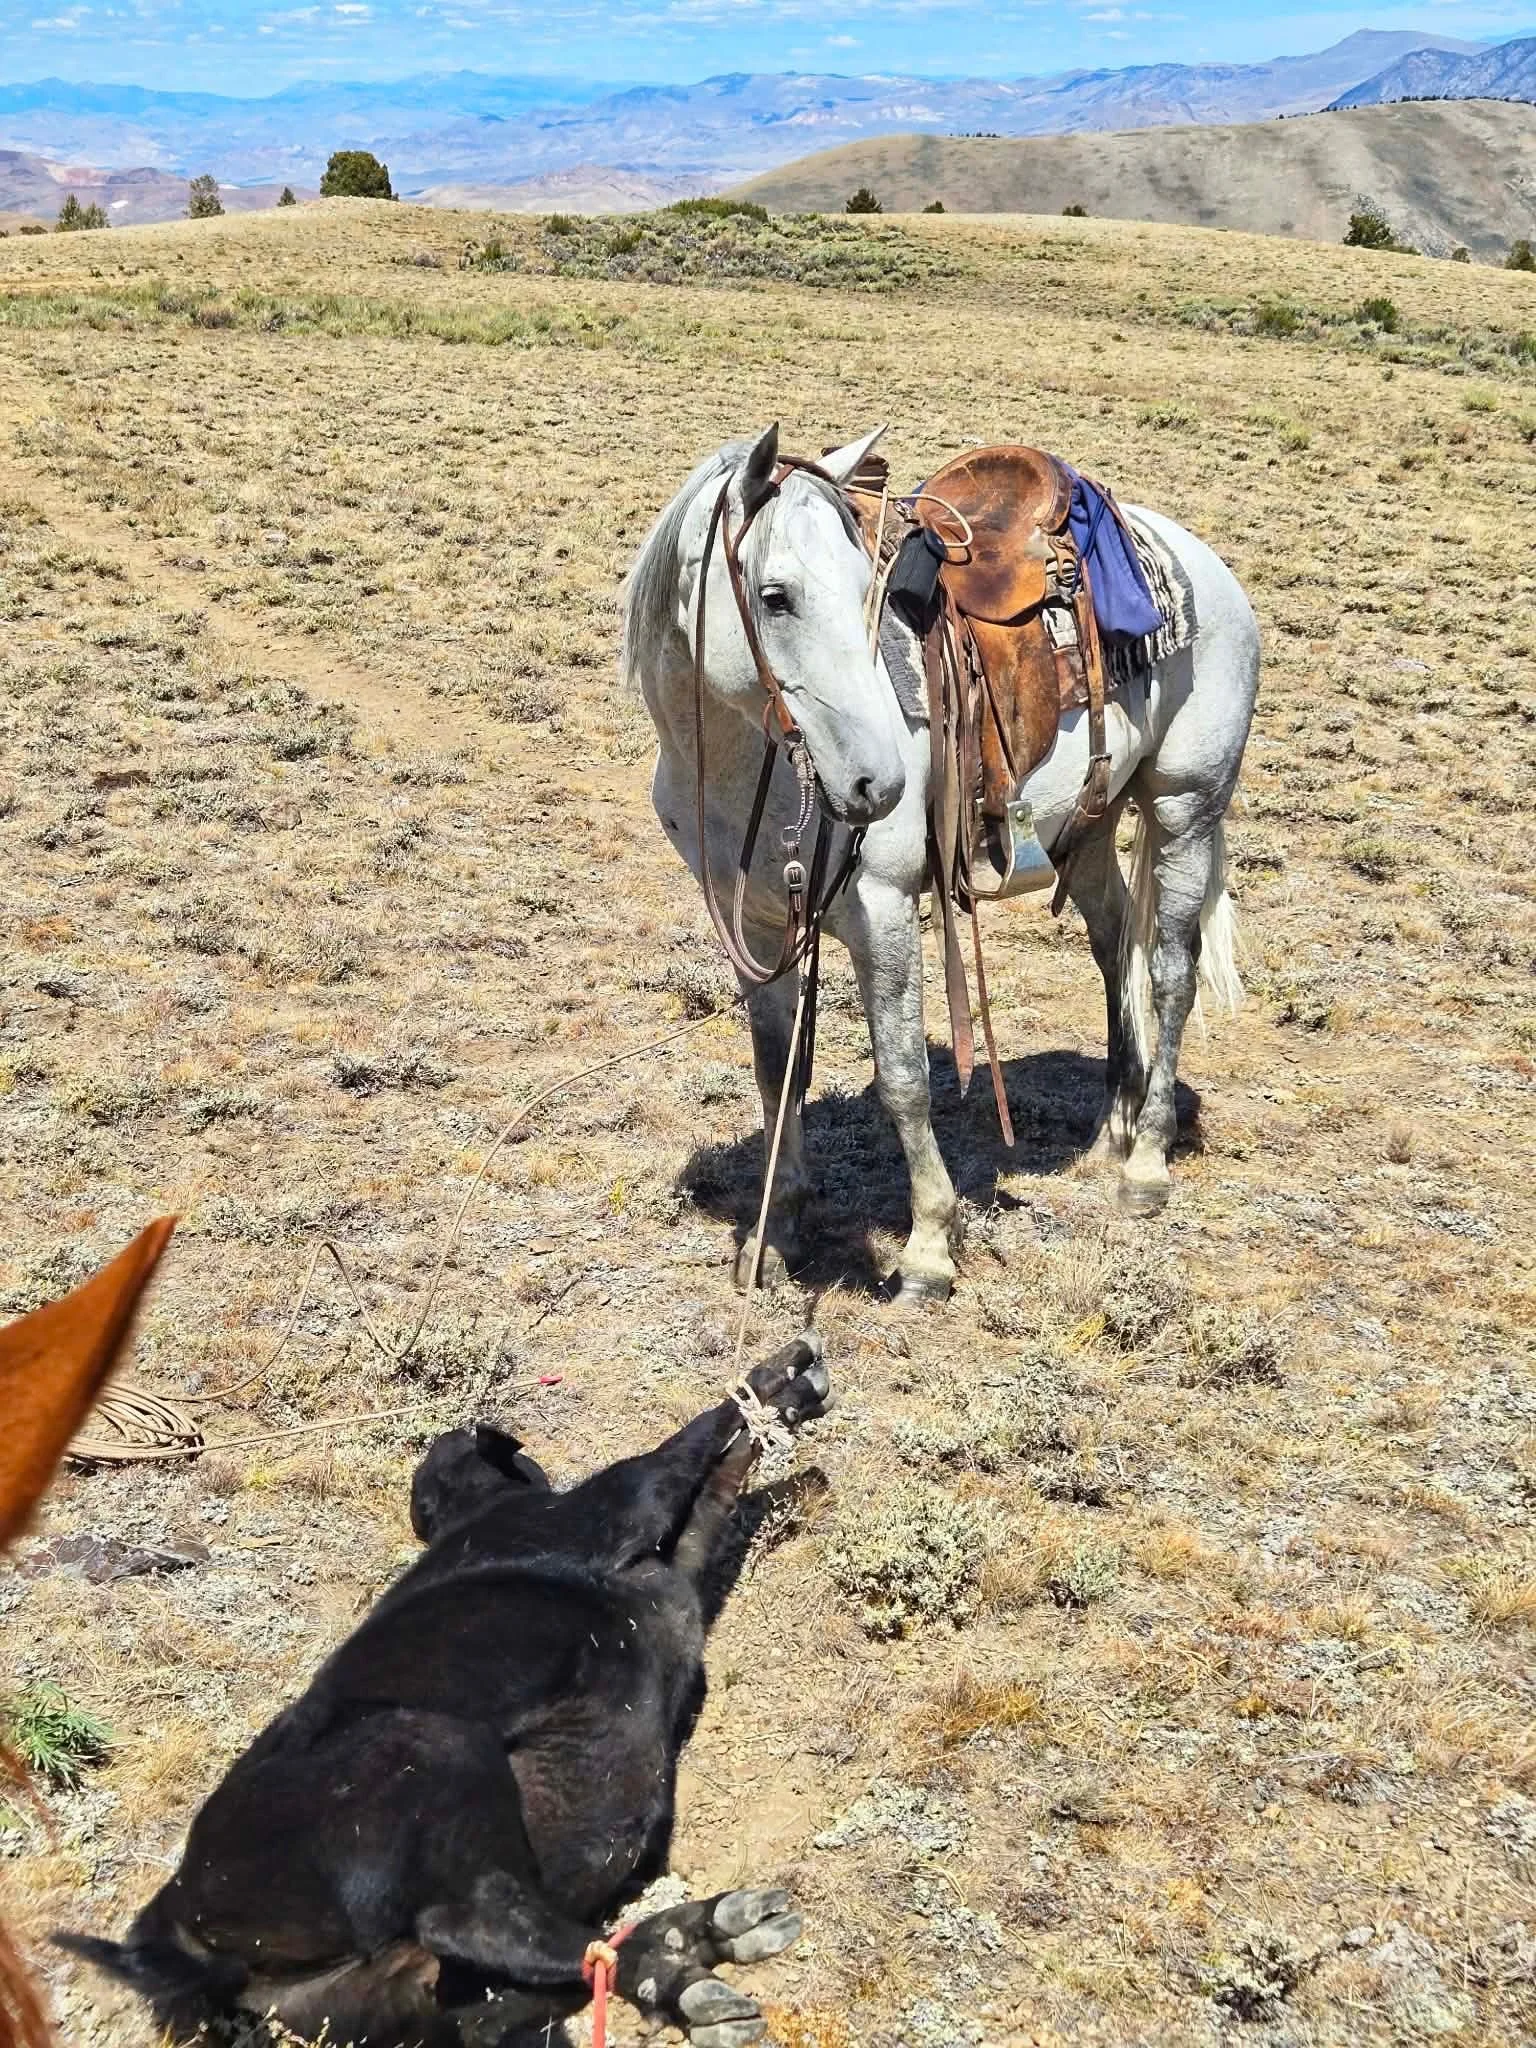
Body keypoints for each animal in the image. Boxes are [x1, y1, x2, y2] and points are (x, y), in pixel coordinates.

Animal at [60, 1334, 830, 2047]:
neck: (472, 1518)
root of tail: (174, 1925)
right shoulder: (609, 1506)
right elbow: (682, 1447)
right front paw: (777, 1373)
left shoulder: (679, 1566)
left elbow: (721, 1482)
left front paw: (784, 1402)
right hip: (425, 1748)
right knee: (477, 1921)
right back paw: (683, 1949)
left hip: (402, 1995)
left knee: (509, 1985)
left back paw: (678, 1952)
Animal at [621, 425, 1261, 1301]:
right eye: (776, 597)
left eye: (871, 590)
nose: (878, 784)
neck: (742, 762)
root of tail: (1202, 561)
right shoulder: (754, 921)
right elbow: (775, 1070)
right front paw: (776, 1233)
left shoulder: (883, 909)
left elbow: (901, 1077)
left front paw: (929, 1245)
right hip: (1092, 825)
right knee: (1113, 947)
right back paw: (1112, 1130)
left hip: (1186, 809)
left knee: (1169, 972)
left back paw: (1147, 1161)